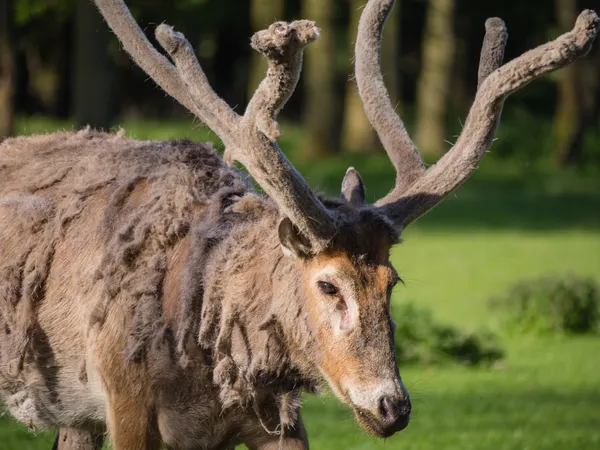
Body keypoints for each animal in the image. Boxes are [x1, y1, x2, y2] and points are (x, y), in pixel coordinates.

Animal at [0, 0, 596, 448]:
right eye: (328, 285)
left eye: (392, 282)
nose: (392, 406)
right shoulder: (124, 399)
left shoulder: (277, 418)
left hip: (76, 419)